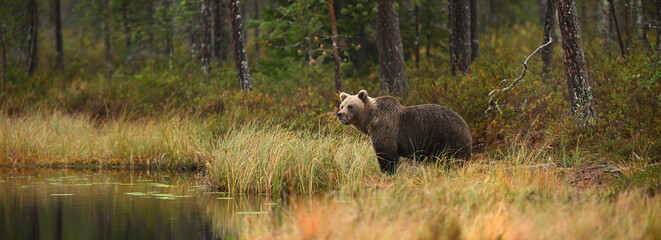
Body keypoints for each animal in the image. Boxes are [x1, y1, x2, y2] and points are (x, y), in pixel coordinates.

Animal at [338, 89, 472, 173]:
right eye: (342, 105)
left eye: (350, 106)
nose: (340, 114)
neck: (371, 120)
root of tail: (465, 124)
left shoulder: (386, 127)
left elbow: (386, 152)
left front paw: (387, 172)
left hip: (445, 136)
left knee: (450, 159)